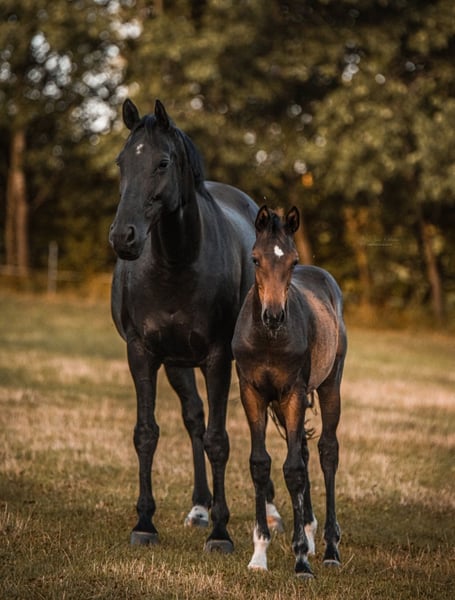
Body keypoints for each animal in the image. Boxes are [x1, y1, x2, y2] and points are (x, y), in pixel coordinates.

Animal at [109, 99, 283, 553]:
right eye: (121, 162)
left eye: (162, 162)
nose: (123, 238)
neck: (176, 263)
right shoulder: (143, 354)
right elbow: (147, 433)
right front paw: (145, 524)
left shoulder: (218, 358)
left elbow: (219, 441)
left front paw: (221, 534)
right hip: (177, 364)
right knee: (194, 420)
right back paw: (200, 507)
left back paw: (270, 511)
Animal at [232, 205, 347, 577]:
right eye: (255, 259)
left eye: (293, 262)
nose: (273, 316)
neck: (268, 341)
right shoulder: (252, 393)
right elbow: (260, 464)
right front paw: (259, 554)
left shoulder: (294, 392)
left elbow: (293, 469)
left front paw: (300, 560)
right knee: (306, 451)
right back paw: (310, 536)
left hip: (329, 384)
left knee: (326, 452)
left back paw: (329, 549)